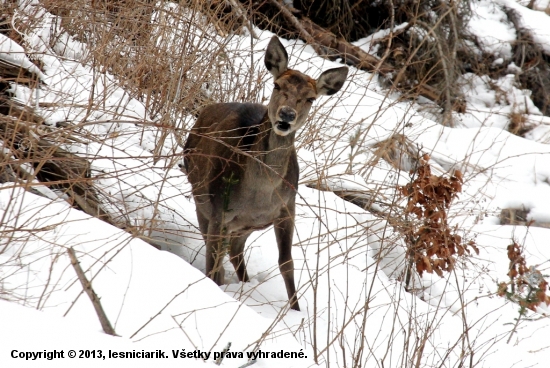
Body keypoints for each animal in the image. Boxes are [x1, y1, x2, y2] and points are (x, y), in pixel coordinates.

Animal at [185, 36, 350, 310]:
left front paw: (296, 309)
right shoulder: (220, 207)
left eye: (311, 98)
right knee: (217, 249)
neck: (259, 193)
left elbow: (287, 263)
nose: (286, 115)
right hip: (203, 201)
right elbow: (213, 259)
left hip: (244, 225)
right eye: (276, 85)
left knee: (234, 251)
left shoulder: (287, 208)